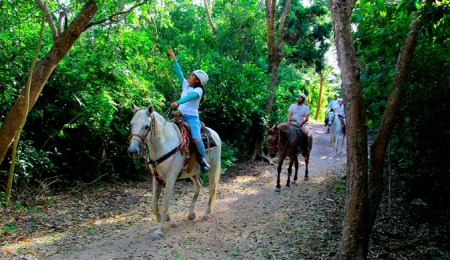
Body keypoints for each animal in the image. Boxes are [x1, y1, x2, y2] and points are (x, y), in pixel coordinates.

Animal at [126, 102, 221, 240]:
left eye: (146, 126)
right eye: (131, 124)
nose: (133, 151)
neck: (163, 144)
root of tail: (215, 134)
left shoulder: (171, 179)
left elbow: (165, 204)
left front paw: (159, 230)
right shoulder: (156, 178)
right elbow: (154, 203)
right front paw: (162, 219)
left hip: (213, 169)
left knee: (212, 189)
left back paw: (206, 214)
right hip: (191, 171)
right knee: (199, 185)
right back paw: (191, 213)